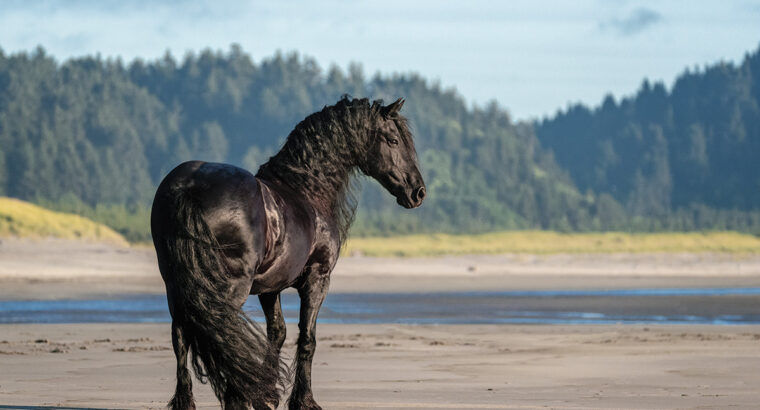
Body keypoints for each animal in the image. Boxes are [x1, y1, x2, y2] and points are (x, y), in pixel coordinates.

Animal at [153, 97, 428, 410]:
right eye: (393, 139)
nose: (418, 192)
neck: (307, 189)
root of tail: (189, 186)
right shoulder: (317, 279)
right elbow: (307, 338)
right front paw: (303, 400)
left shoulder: (269, 287)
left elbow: (278, 332)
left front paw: (268, 395)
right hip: (229, 287)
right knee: (223, 332)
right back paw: (236, 398)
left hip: (177, 286)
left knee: (181, 336)